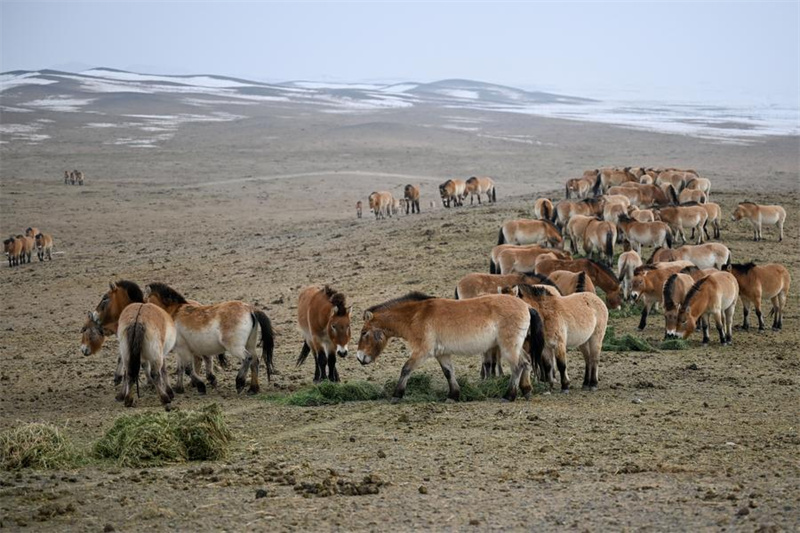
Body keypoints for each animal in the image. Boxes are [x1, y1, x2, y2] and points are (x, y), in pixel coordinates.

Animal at [145, 282, 275, 395]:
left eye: (145, 301)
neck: (175, 312)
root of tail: (250, 309)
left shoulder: (182, 349)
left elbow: (187, 369)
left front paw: (201, 386)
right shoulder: (181, 350)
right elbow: (181, 368)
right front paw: (179, 388)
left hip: (235, 347)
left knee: (247, 358)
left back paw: (240, 383)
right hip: (250, 344)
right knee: (254, 361)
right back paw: (253, 389)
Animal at [356, 292, 543, 402]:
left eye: (364, 332)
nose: (359, 358)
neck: (416, 315)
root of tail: (526, 306)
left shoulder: (422, 352)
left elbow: (406, 369)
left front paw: (397, 395)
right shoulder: (442, 354)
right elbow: (448, 372)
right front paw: (453, 395)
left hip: (508, 347)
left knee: (518, 366)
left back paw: (509, 396)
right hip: (515, 346)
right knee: (526, 362)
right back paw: (526, 390)